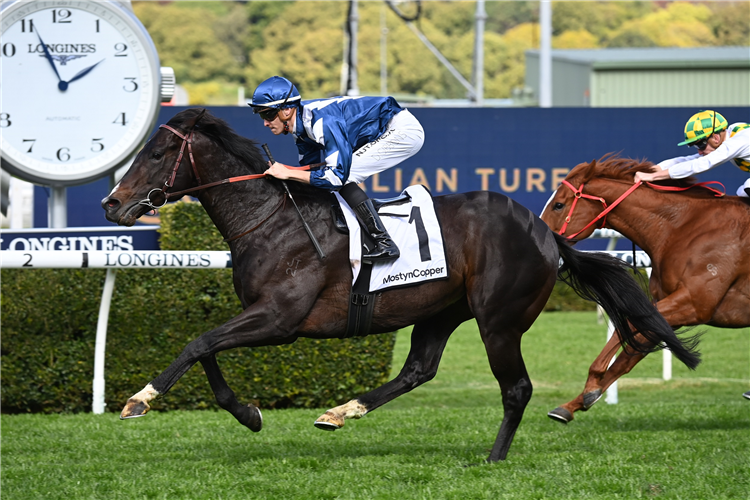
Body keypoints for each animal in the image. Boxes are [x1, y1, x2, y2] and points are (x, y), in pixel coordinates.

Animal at [101, 109, 704, 460]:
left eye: (158, 153)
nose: (110, 203)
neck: (272, 217)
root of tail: (546, 234)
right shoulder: (262, 316)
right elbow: (206, 348)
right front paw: (248, 413)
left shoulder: (280, 318)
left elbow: (198, 342)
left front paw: (138, 400)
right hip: (441, 311)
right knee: (419, 370)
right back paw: (342, 412)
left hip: (499, 320)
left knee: (516, 389)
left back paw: (494, 458)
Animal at [544, 155, 748, 422]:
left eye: (558, 205)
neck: (681, 229)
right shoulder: (672, 307)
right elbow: (628, 356)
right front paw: (573, 404)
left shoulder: (694, 303)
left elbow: (630, 325)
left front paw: (592, 383)